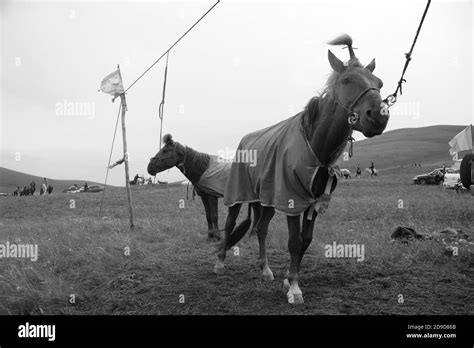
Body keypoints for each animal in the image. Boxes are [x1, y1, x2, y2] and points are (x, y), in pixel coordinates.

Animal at [214, 34, 388, 304]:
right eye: (347, 80)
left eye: (378, 82)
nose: (379, 116)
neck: (315, 145)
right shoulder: (292, 200)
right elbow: (294, 242)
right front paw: (295, 289)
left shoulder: (313, 202)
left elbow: (305, 241)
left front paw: (288, 279)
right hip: (238, 193)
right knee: (231, 223)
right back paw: (221, 262)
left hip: (265, 200)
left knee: (261, 229)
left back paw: (265, 269)